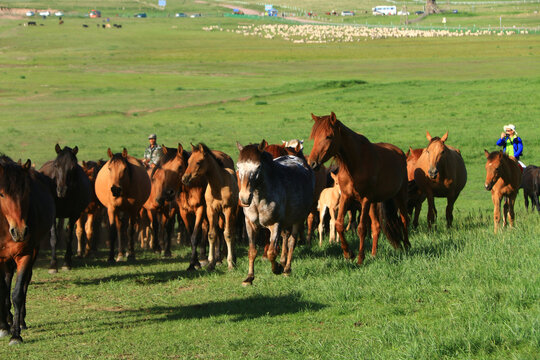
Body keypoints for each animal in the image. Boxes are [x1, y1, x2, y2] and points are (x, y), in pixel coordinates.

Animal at [0, 155, 54, 346]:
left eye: (26, 192)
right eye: (1, 194)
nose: (20, 231)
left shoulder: (25, 255)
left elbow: (17, 294)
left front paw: (16, 335)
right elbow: (3, 292)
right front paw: (4, 327)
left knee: (24, 284)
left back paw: (20, 322)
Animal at [237, 141, 316, 284]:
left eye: (258, 167)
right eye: (238, 166)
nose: (244, 198)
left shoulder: (275, 225)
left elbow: (272, 252)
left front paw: (277, 269)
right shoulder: (250, 224)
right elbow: (252, 251)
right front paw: (249, 277)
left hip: (298, 219)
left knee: (291, 242)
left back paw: (286, 269)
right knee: (285, 237)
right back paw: (283, 262)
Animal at [308, 112, 410, 264]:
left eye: (328, 136)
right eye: (314, 137)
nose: (312, 163)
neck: (355, 163)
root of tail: (401, 153)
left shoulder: (365, 199)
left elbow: (361, 228)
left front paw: (360, 258)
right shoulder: (345, 196)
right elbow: (339, 224)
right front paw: (348, 253)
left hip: (399, 196)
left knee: (404, 219)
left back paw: (407, 245)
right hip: (374, 202)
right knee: (376, 226)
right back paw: (373, 254)